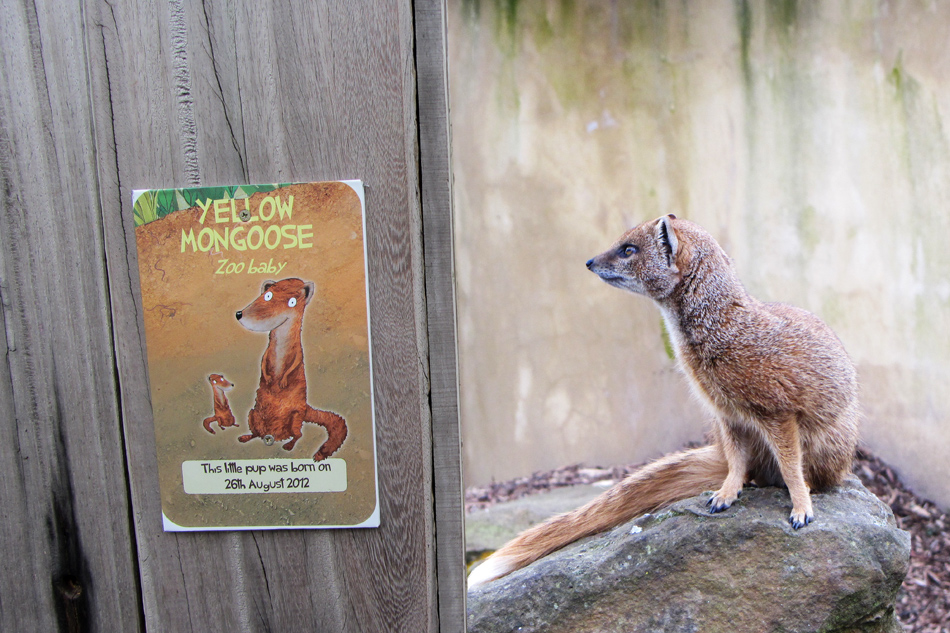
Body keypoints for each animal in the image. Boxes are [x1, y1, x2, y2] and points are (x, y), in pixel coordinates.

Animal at [235, 278, 348, 461]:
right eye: (267, 295)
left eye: (292, 302)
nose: (239, 314)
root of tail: (272, 436)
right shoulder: (266, 353)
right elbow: (263, 362)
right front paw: (268, 378)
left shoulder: (298, 353)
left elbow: (294, 365)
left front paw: (282, 381)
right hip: (253, 414)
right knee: (256, 433)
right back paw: (246, 437)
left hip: (295, 417)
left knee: (298, 435)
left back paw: (288, 445)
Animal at [467, 215, 859, 588]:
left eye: (628, 249)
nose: (589, 261)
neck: (723, 338)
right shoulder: (726, 415)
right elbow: (736, 463)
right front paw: (725, 494)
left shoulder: (776, 409)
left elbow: (792, 468)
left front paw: (801, 508)